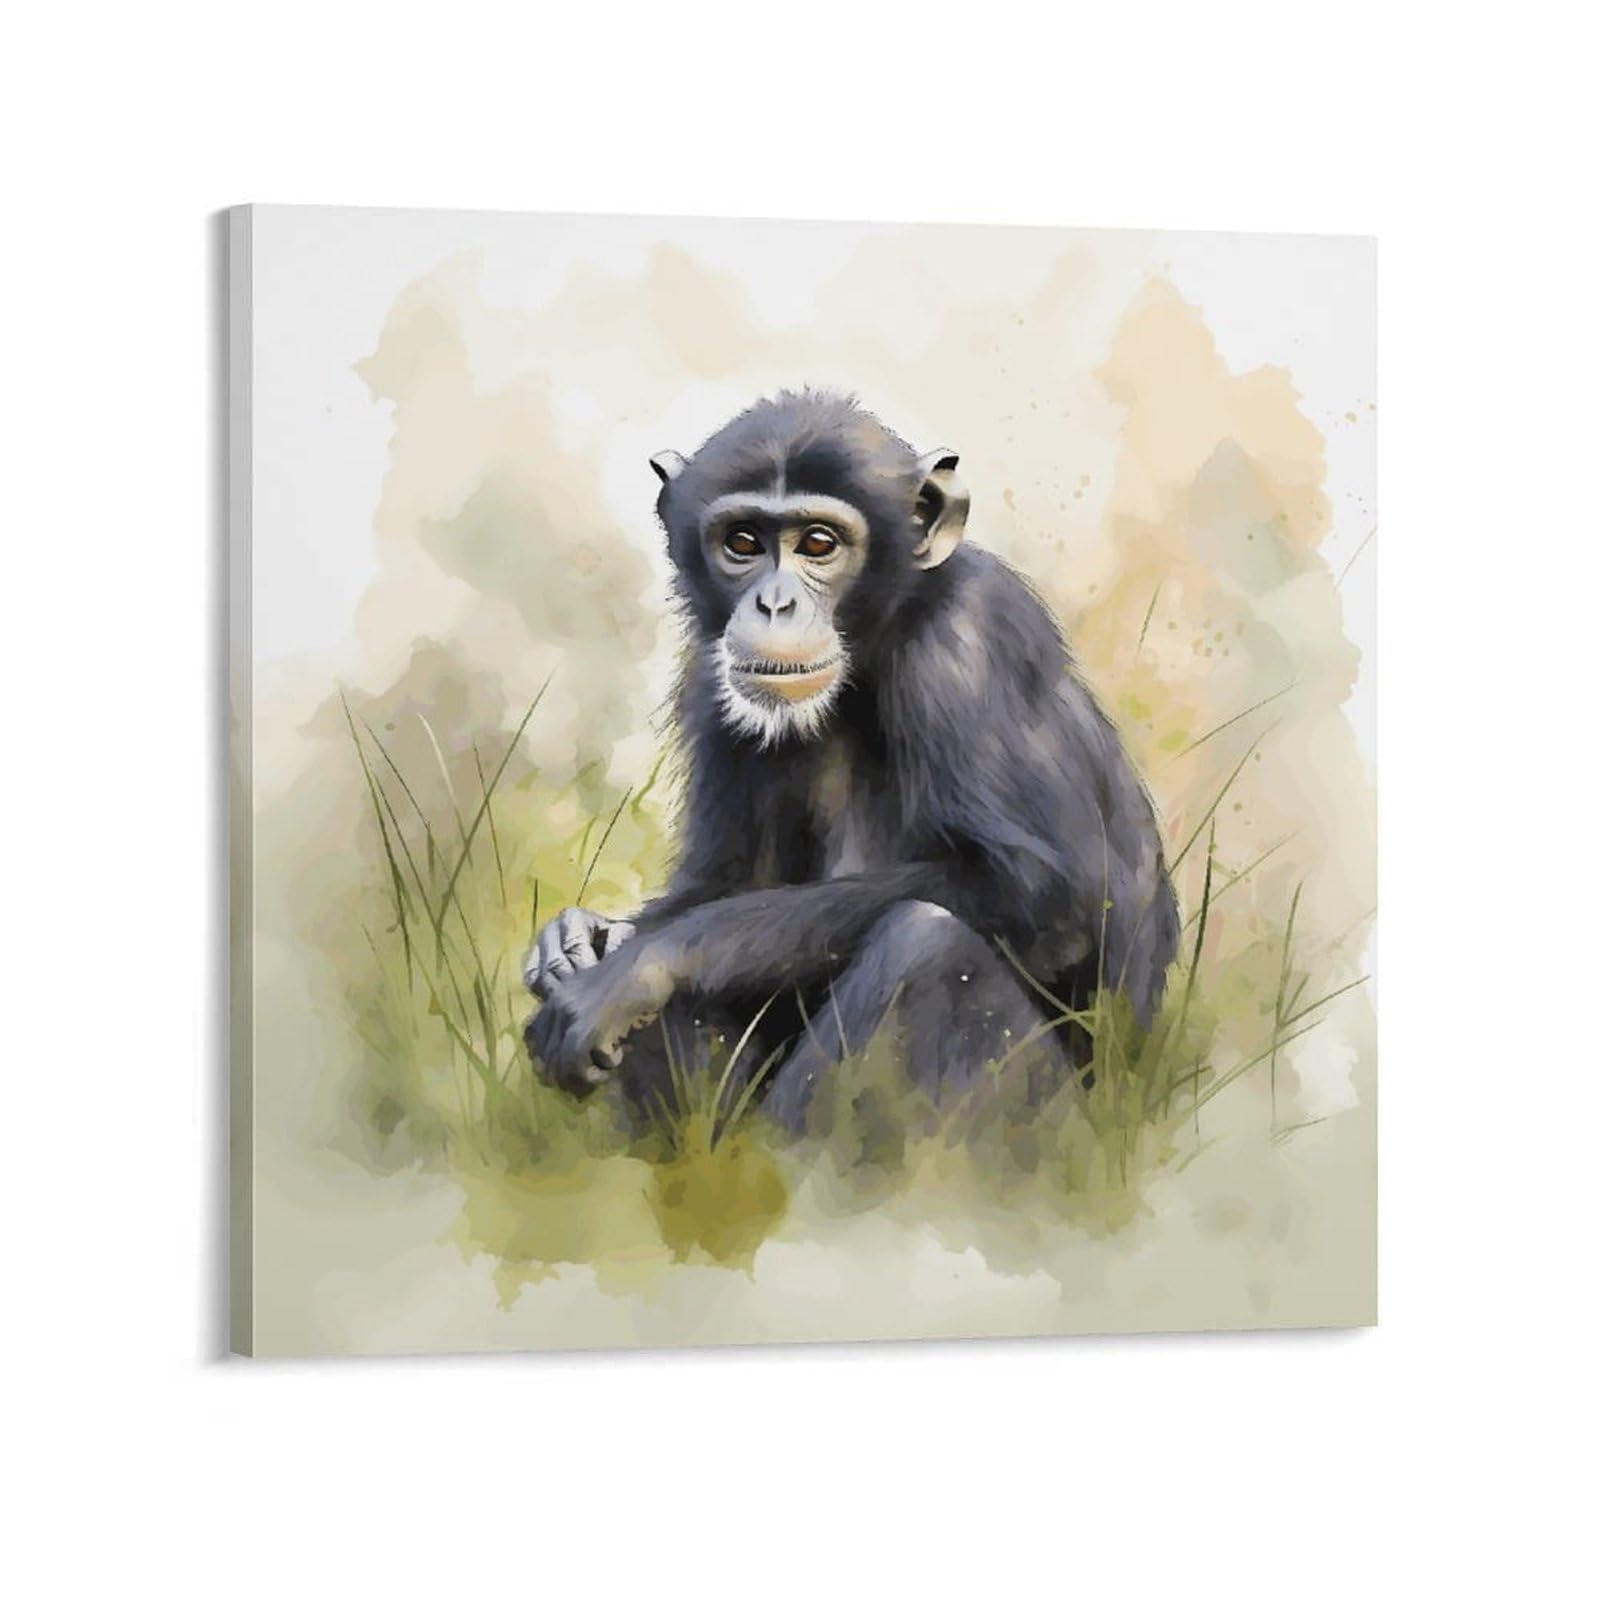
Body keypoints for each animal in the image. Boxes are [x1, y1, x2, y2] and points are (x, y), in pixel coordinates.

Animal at [524, 390, 1179, 1132]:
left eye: (818, 544)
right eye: (743, 542)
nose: (774, 603)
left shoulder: (969, 643)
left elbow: (1043, 898)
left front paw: (635, 968)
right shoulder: (711, 687)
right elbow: (727, 880)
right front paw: (581, 937)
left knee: (925, 943)